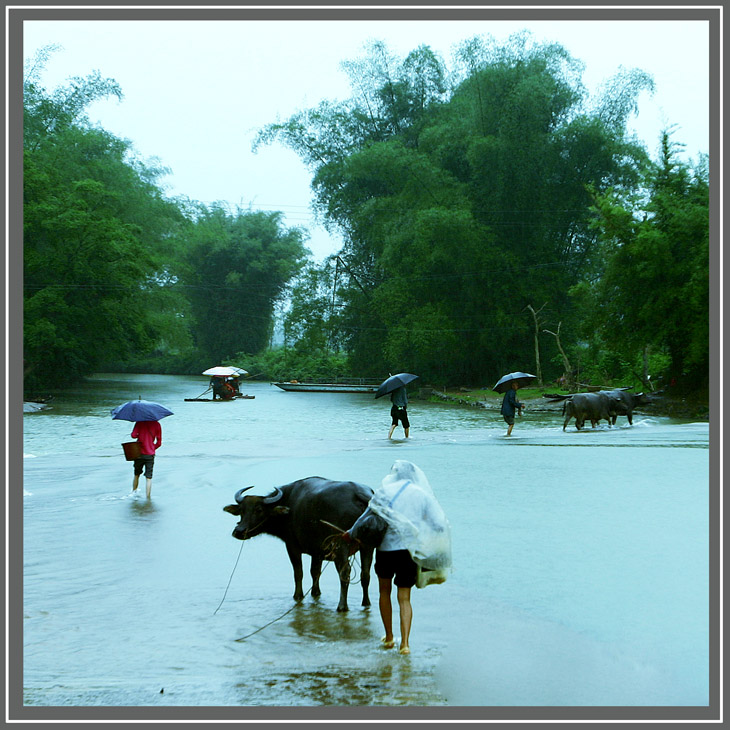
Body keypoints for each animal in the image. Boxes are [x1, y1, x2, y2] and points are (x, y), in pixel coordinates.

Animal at [222, 478, 372, 608]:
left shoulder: (292, 546)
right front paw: (315, 593)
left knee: (345, 573)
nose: (239, 531)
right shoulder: (317, 552)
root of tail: (358, 494)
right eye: (241, 510)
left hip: (340, 546)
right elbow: (315, 572)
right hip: (368, 546)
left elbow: (298, 573)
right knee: (365, 574)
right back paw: (366, 603)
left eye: (258, 510)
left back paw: (342, 606)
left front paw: (298, 595)